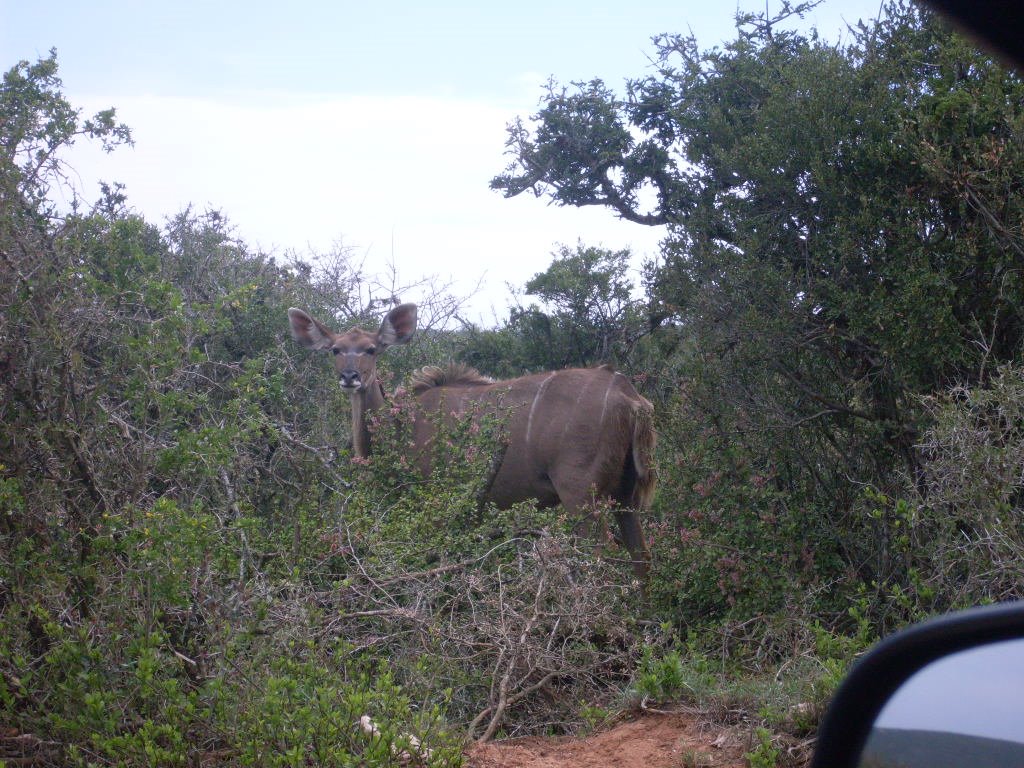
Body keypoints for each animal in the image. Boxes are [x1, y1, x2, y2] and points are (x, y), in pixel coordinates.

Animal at [288, 303, 655, 573]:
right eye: (335, 350)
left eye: (371, 349)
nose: (350, 377)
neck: (401, 425)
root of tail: (630, 396)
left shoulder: (437, 499)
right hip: (625, 494)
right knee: (642, 555)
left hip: (581, 493)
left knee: (601, 552)